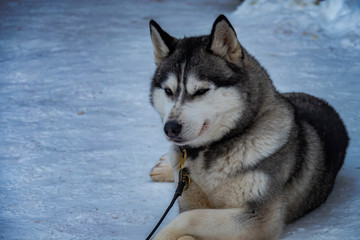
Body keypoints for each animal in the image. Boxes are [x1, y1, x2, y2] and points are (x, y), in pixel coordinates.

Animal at [147, 15, 348, 240]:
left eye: (201, 91)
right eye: (168, 91)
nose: (170, 128)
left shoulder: (258, 219)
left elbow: (188, 218)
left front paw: (162, 235)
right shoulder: (189, 197)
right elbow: (189, 214)